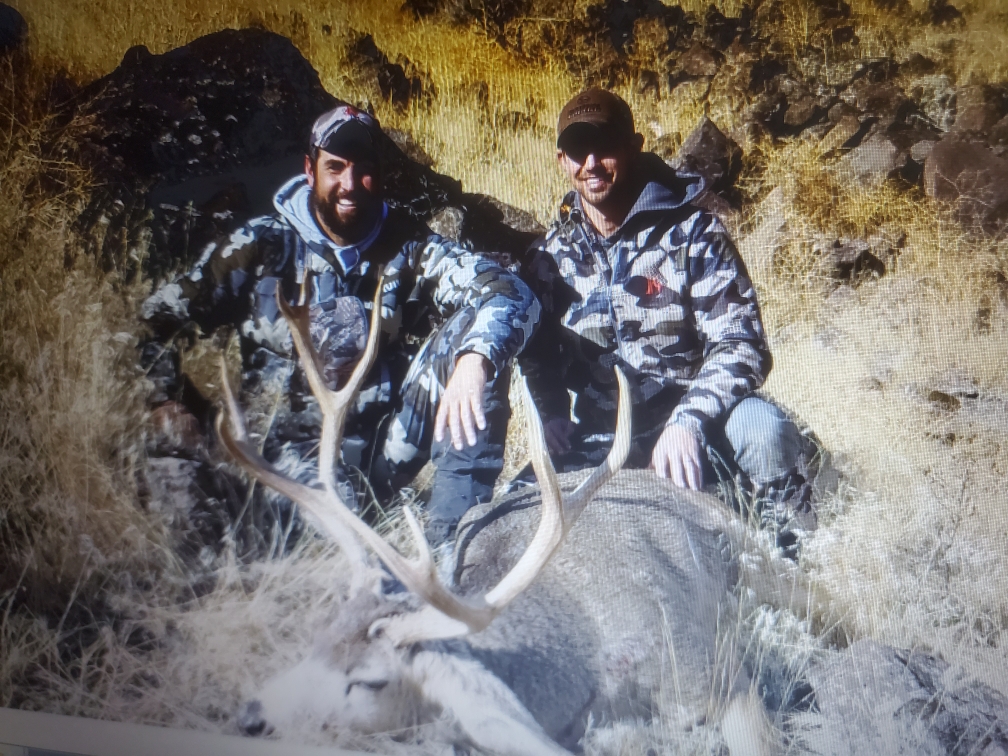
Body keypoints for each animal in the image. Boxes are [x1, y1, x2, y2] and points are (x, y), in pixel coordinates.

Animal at [217, 279, 818, 756]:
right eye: (317, 638)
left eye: (367, 682)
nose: (249, 717)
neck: (581, 672)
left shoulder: (712, 671)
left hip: (759, 554)